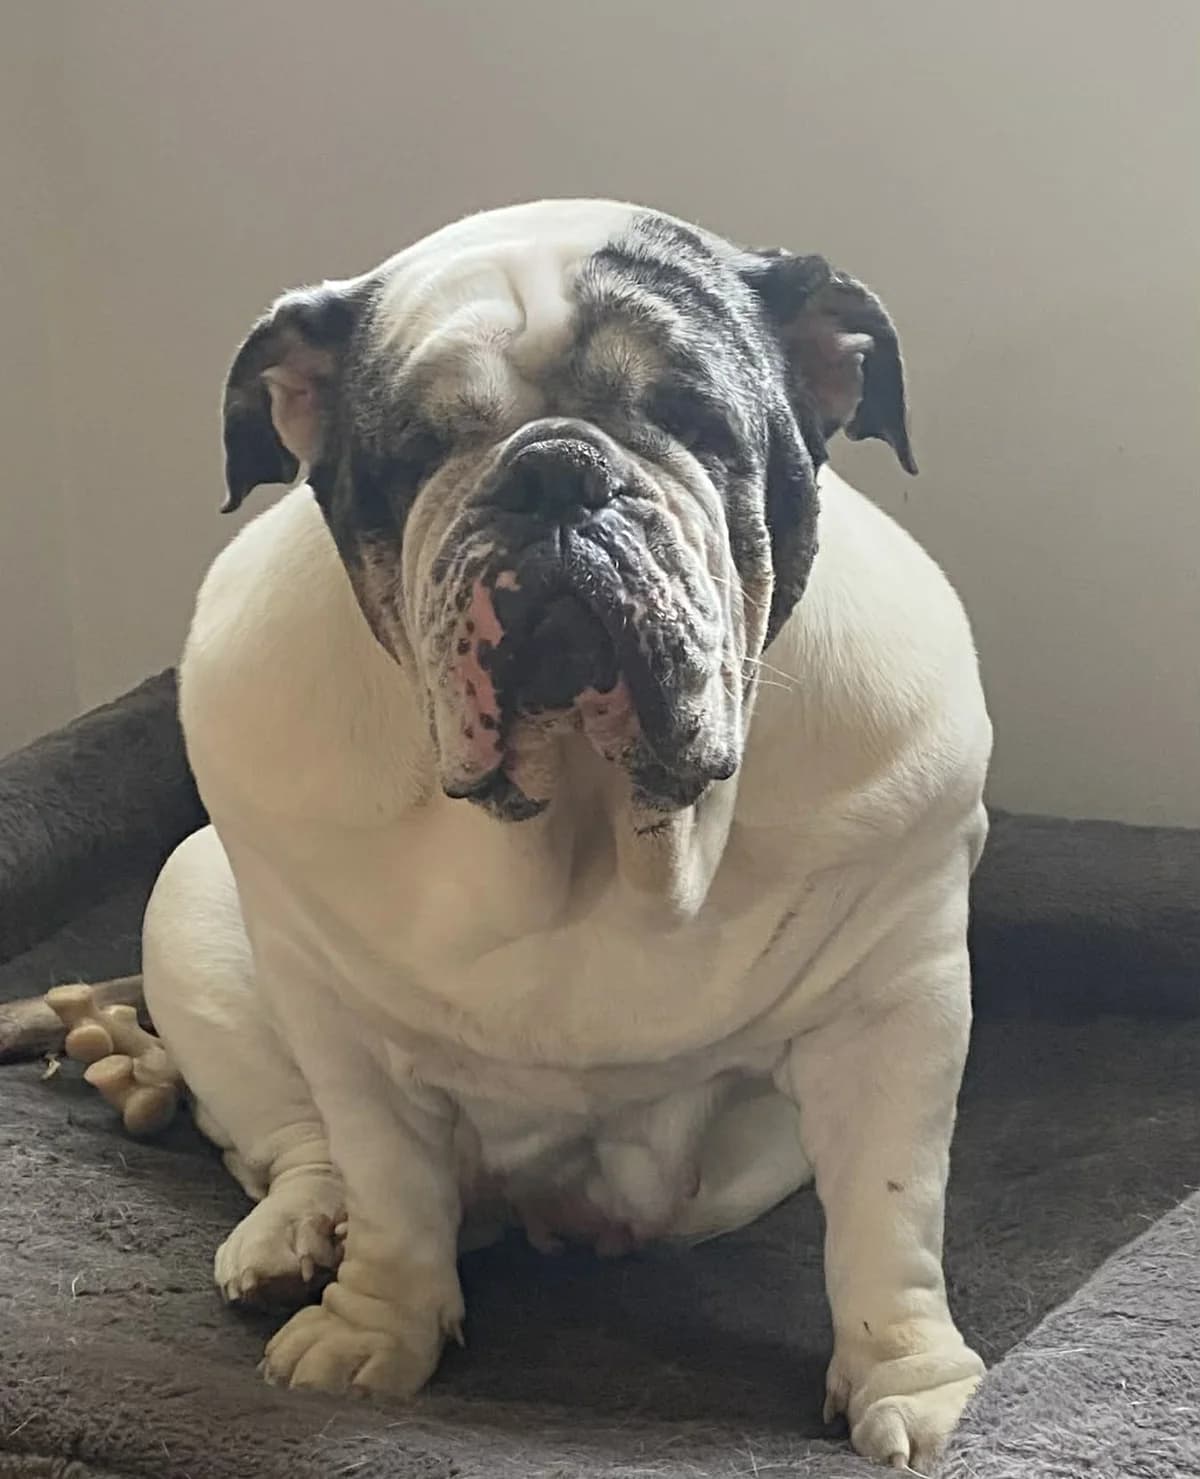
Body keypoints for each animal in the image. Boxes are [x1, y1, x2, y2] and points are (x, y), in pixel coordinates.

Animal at [142, 199, 991, 1469]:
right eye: (416, 453)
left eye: (695, 422)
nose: (553, 471)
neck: (594, 829)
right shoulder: (339, 1021)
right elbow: (389, 1185)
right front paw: (373, 1332)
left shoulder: (897, 1000)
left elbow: (888, 1220)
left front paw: (918, 1390)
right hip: (192, 909)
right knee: (292, 1143)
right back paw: (294, 1236)